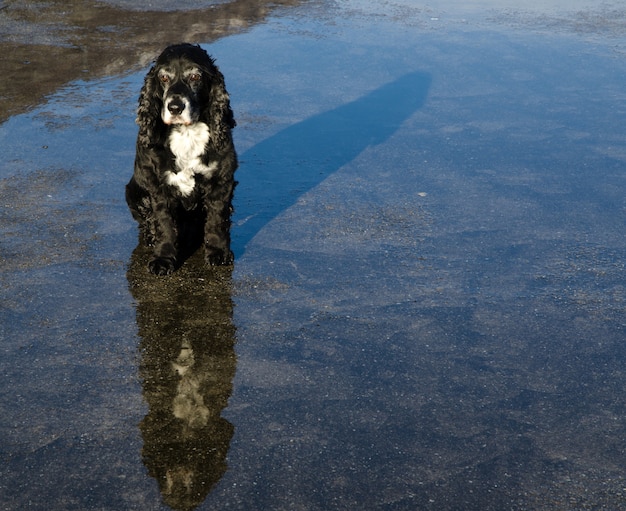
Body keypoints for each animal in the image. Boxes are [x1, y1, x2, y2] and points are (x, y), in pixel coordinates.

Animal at [125, 44, 236, 276]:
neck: (187, 133)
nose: (175, 107)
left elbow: (216, 219)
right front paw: (163, 259)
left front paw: (218, 252)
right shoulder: (159, 186)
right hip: (132, 192)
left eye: (195, 76)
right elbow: (164, 224)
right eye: (163, 77)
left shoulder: (221, 180)